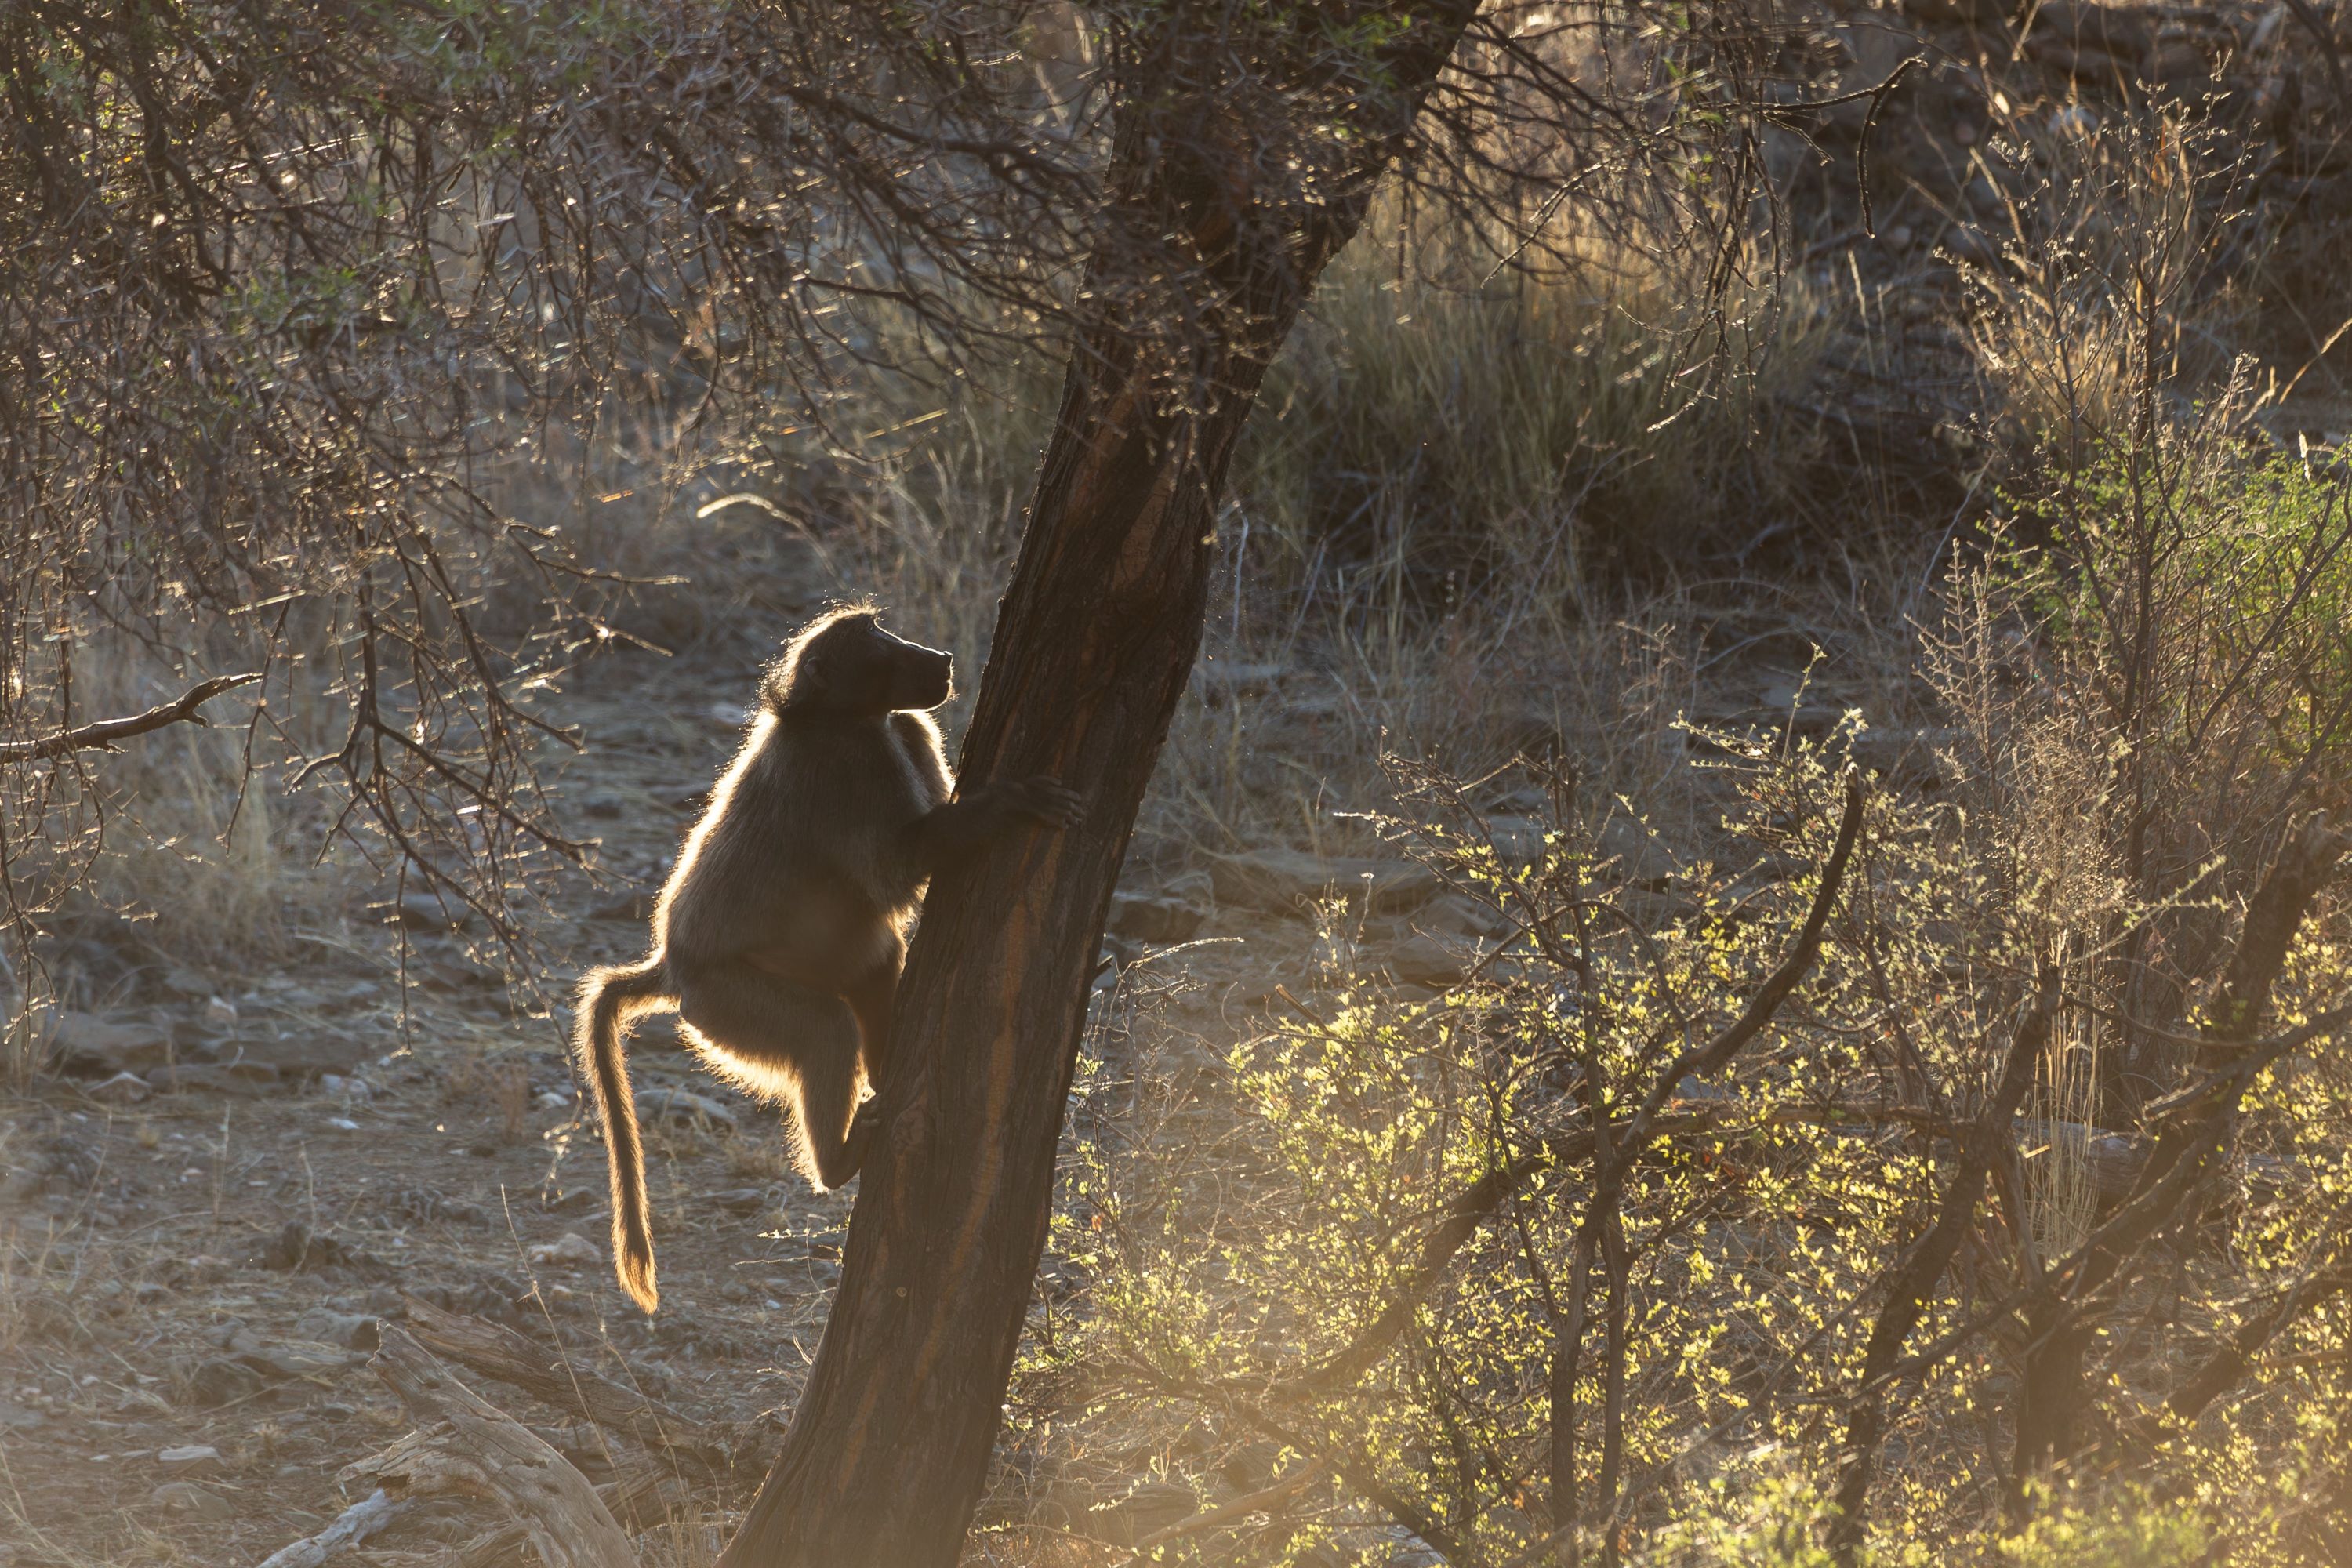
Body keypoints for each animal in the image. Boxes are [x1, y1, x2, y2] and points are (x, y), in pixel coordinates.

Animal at [572, 606, 1080, 1311]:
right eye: (873, 639)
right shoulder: (850, 766)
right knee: (826, 1029)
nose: (942, 658)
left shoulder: (906, 725)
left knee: (874, 962)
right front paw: (1010, 804)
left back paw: (886, 1067)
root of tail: (671, 964)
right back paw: (837, 1164)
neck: (829, 714)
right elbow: (896, 874)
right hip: (727, 1003)